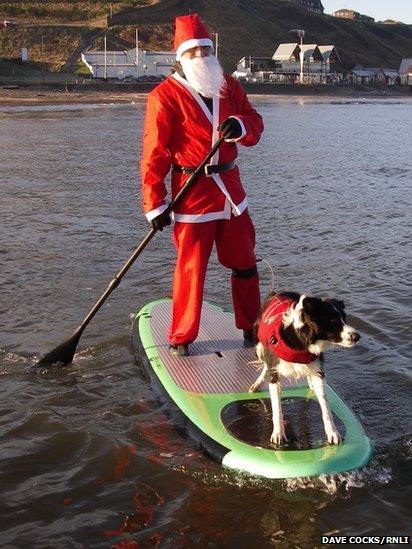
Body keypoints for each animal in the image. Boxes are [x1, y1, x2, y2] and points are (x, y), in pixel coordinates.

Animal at [248, 292, 360, 446]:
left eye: (344, 318)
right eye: (333, 321)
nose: (357, 336)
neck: (300, 341)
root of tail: (277, 293)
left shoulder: (318, 371)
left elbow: (325, 406)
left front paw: (333, 433)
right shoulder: (275, 372)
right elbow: (277, 408)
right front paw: (278, 434)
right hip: (259, 346)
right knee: (265, 364)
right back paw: (257, 383)